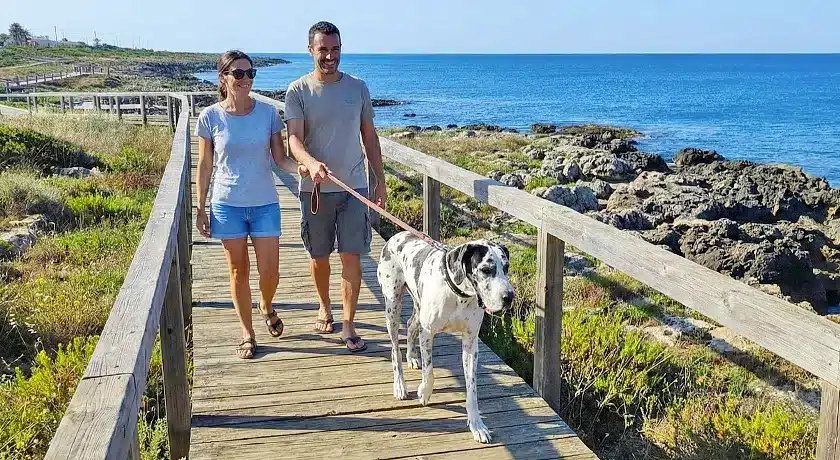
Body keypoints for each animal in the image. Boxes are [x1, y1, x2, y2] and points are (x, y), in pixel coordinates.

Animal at [377, 231, 515, 443]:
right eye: (485, 269)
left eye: (506, 268)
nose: (509, 296)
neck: (459, 295)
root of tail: (397, 235)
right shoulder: (427, 333)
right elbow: (430, 372)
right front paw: (424, 392)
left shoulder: (470, 344)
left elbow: (472, 389)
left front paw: (477, 425)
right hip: (392, 306)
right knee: (394, 350)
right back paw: (400, 385)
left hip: (417, 306)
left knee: (410, 325)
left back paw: (412, 357)